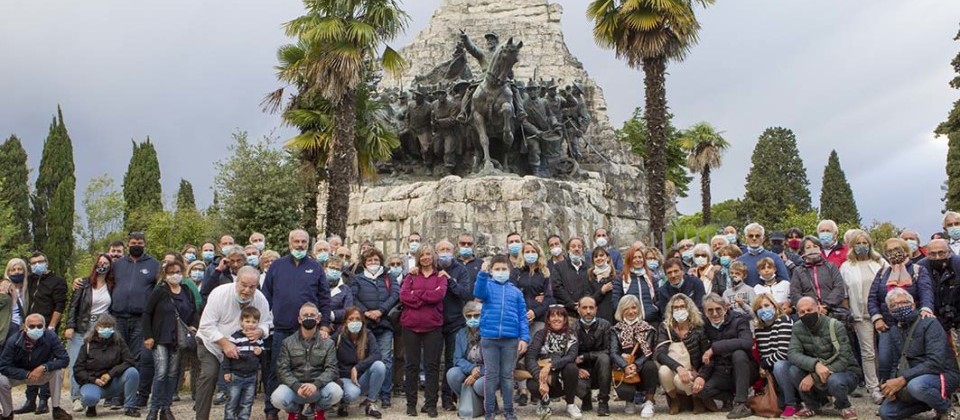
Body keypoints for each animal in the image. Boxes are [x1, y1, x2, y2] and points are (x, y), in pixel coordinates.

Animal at [466, 37, 520, 171]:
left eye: (515, 60)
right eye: (503, 56)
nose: (501, 80)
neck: (493, 87)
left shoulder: (507, 107)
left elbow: (507, 109)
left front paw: (507, 135)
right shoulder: (477, 115)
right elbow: (484, 140)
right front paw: (488, 164)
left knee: (505, 149)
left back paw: (505, 167)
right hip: (473, 134)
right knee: (478, 149)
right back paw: (476, 167)